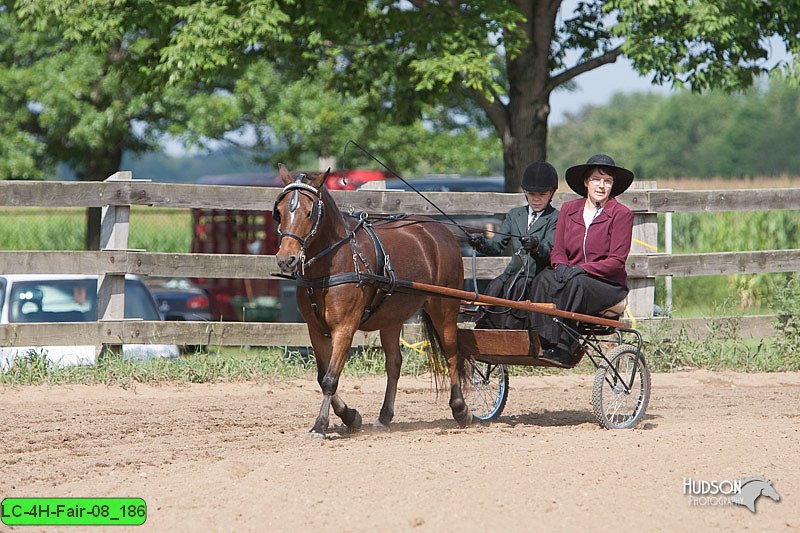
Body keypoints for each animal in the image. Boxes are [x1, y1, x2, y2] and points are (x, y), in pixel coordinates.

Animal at [272, 163, 472, 436]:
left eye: (310, 211)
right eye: (280, 211)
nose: (286, 259)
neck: (333, 264)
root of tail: (440, 230)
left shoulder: (345, 329)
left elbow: (330, 378)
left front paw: (320, 425)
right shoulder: (315, 329)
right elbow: (322, 376)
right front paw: (350, 417)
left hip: (445, 308)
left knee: (452, 355)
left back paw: (460, 409)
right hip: (391, 318)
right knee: (394, 363)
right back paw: (385, 415)